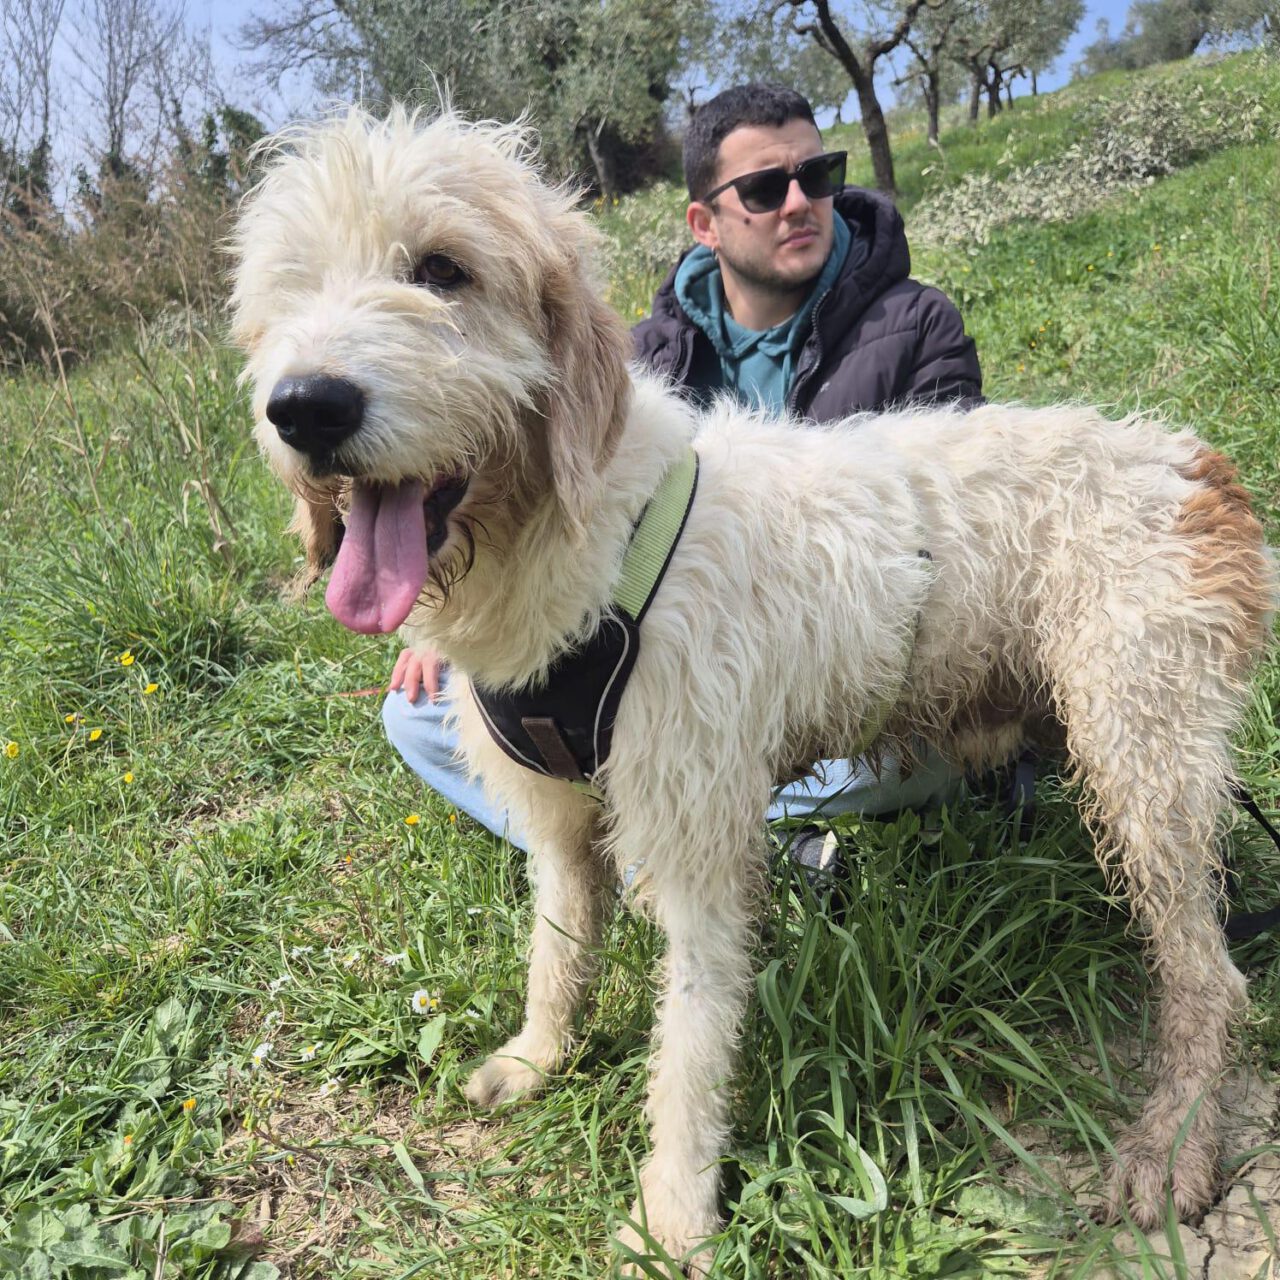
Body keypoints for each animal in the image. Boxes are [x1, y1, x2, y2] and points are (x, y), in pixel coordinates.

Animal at [230, 106, 1274, 1273]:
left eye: (442, 269)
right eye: (290, 289)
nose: (305, 407)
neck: (581, 538)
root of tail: (1193, 463)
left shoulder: (695, 836)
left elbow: (689, 1041)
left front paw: (672, 1215)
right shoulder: (559, 815)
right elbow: (557, 946)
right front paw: (540, 1055)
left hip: (1142, 756)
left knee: (1207, 976)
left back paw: (1171, 1139)